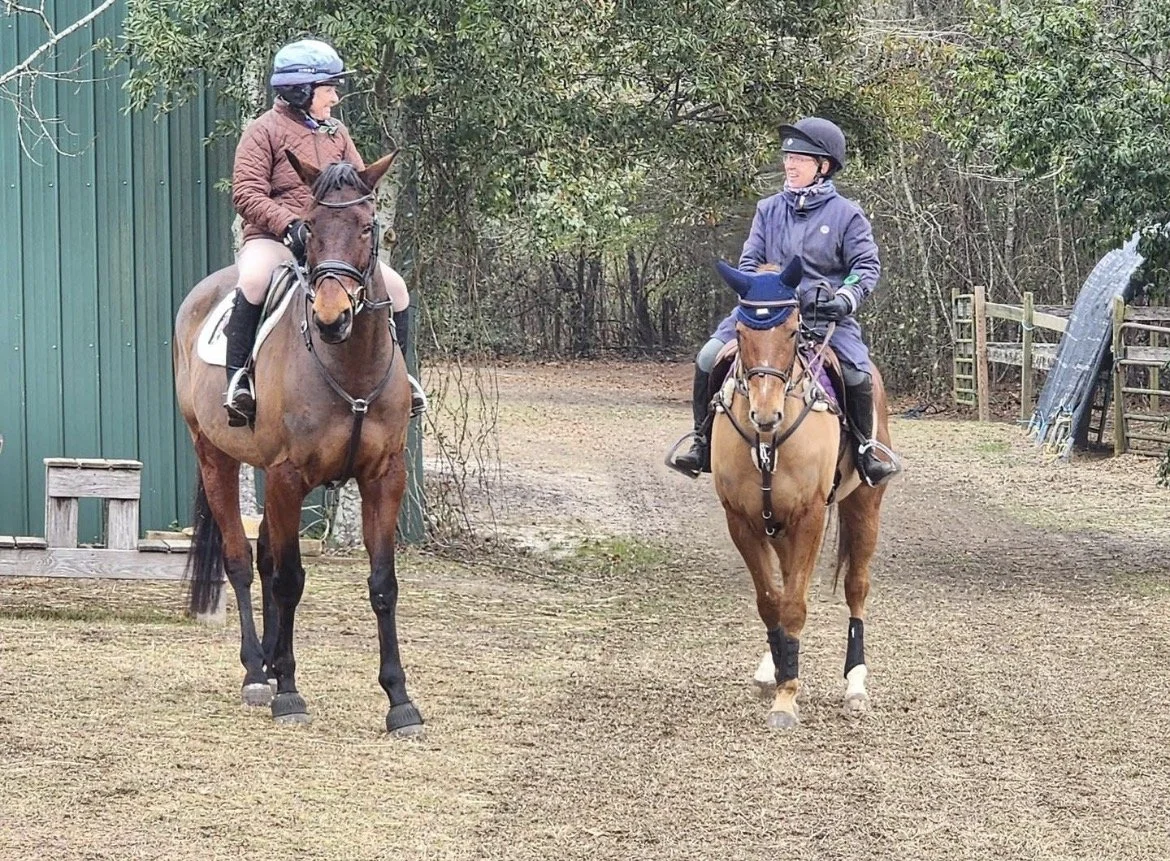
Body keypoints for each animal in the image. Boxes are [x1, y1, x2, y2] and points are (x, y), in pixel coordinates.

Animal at [173, 152, 424, 736]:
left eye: (366, 226)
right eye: (309, 225)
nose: (333, 318)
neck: (348, 365)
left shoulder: (384, 477)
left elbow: (383, 583)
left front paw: (399, 700)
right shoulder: (290, 476)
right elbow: (289, 580)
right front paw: (288, 690)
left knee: (265, 555)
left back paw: (267, 660)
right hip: (216, 457)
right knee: (243, 563)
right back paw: (256, 673)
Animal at [708, 259, 893, 730]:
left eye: (793, 331)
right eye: (741, 332)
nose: (766, 414)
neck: (767, 441)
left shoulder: (810, 516)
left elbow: (794, 604)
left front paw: (786, 698)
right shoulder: (742, 520)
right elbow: (771, 601)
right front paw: (780, 674)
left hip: (863, 506)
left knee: (857, 588)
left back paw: (856, 685)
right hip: (778, 526)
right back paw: (771, 667)